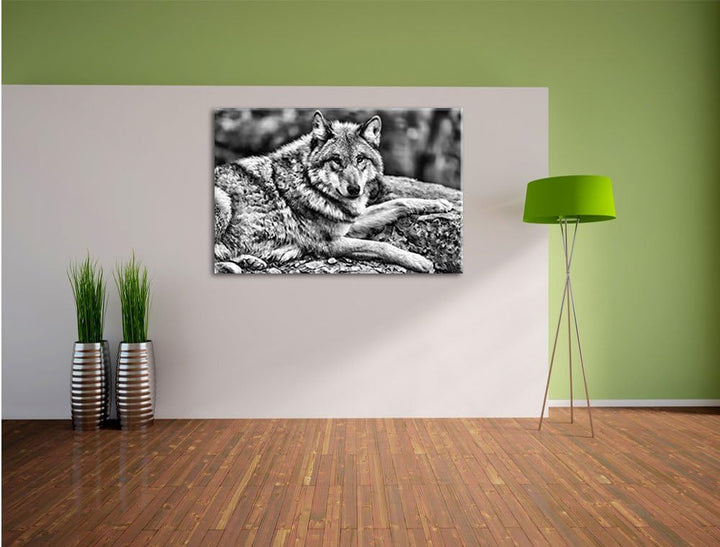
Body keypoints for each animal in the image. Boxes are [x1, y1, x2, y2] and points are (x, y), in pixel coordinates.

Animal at [214, 110, 454, 273]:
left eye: (360, 159)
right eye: (336, 160)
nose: (354, 189)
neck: (310, 184)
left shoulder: (349, 222)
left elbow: (397, 202)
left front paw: (438, 203)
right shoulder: (331, 244)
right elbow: (380, 245)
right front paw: (419, 260)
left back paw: (254, 259)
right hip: (223, 202)